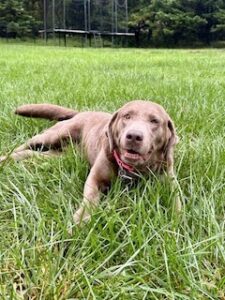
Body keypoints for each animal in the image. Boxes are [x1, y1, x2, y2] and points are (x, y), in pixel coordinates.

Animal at [0, 100, 180, 223]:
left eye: (154, 121)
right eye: (127, 116)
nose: (134, 135)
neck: (133, 169)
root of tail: (81, 112)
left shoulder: (169, 181)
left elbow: (176, 202)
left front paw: (176, 224)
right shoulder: (96, 178)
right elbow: (90, 199)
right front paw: (80, 221)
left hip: (58, 154)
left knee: (31, 153)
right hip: (54, 134)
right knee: (25, 145)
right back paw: (4, 158)